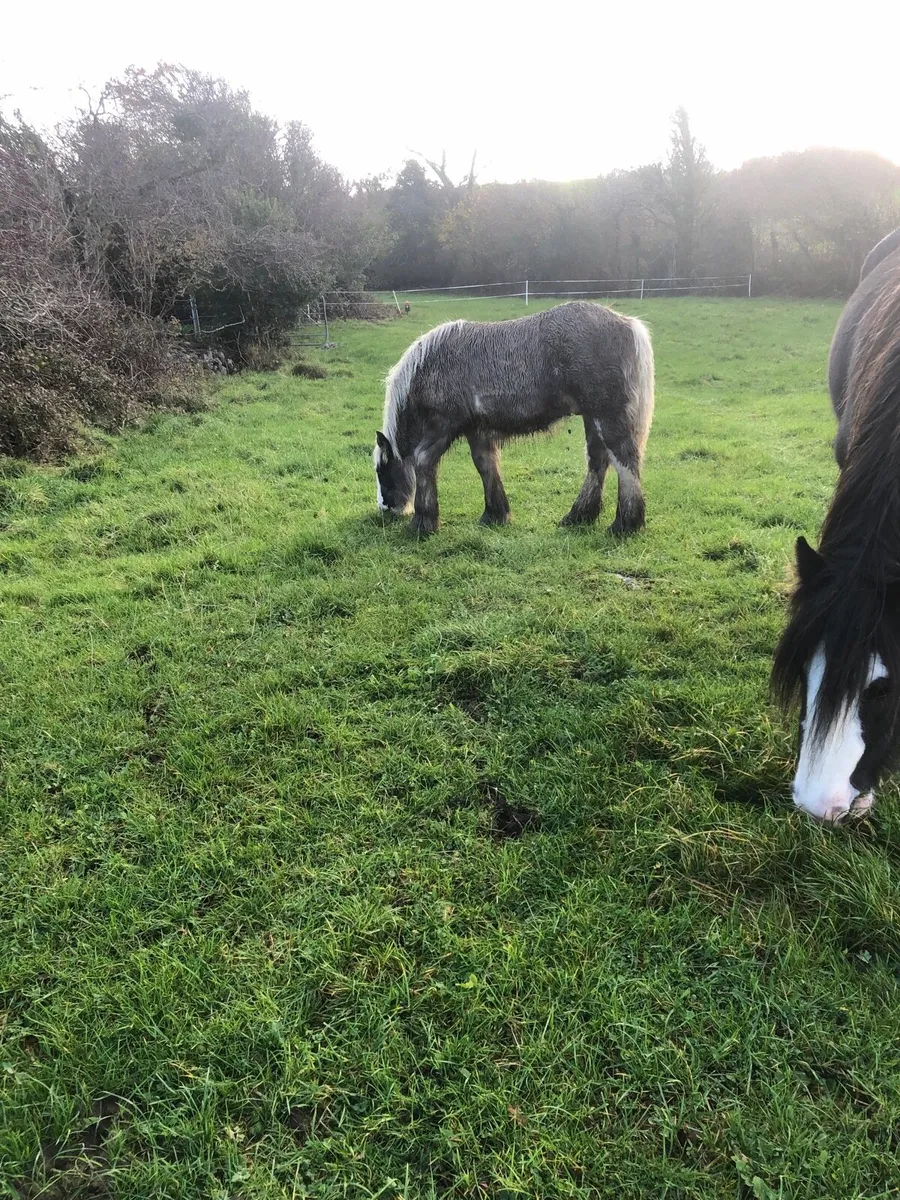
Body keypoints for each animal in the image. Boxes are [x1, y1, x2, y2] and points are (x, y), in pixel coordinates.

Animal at [373, 301, 655, 536]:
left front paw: (423, 523)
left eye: (382, 470)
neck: (429, 365)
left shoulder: (443, 424)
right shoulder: (477, 429)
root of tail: (629, 324)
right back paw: (579, 516)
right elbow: (485, 464)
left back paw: (625, 525)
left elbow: (423, 461)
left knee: (624, 459)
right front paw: (495, 515)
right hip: (592, 417)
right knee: (598, 460)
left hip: (607, 415)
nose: (386, 508)